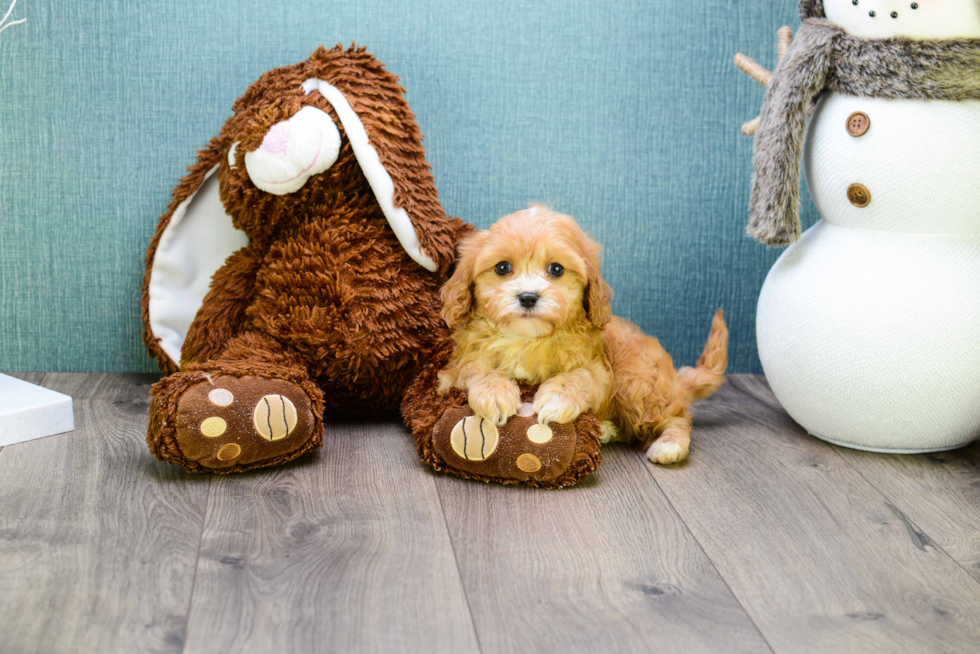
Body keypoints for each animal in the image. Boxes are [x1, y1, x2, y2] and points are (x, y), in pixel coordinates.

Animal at [436, 206, 728, 466]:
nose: (528, 297)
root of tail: (676, 381)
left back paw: (669, 444)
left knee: (676, 418)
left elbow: (579, 376)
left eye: (556, 269)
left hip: (635, 381)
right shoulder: (454, 367)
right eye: (502, 268)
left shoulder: (600, 370)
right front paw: (495, 393)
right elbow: (475, 368)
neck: (528, 339)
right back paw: (608, 430)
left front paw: (557, 397)